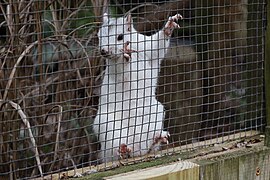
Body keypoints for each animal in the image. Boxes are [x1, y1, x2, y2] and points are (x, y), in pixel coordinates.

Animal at [93, 11, 184, 162]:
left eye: (120, 36)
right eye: (99, 36)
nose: (103, 51)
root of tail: (135, 149)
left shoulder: (147, 47)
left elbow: (157, 46)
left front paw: (169, 26)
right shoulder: (114, 67)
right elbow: (121, 71)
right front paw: (125, 54)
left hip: (154, 115)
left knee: (147, 146)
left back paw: (157, 139)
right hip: (107, 126)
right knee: (116, 149)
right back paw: (123, 150)